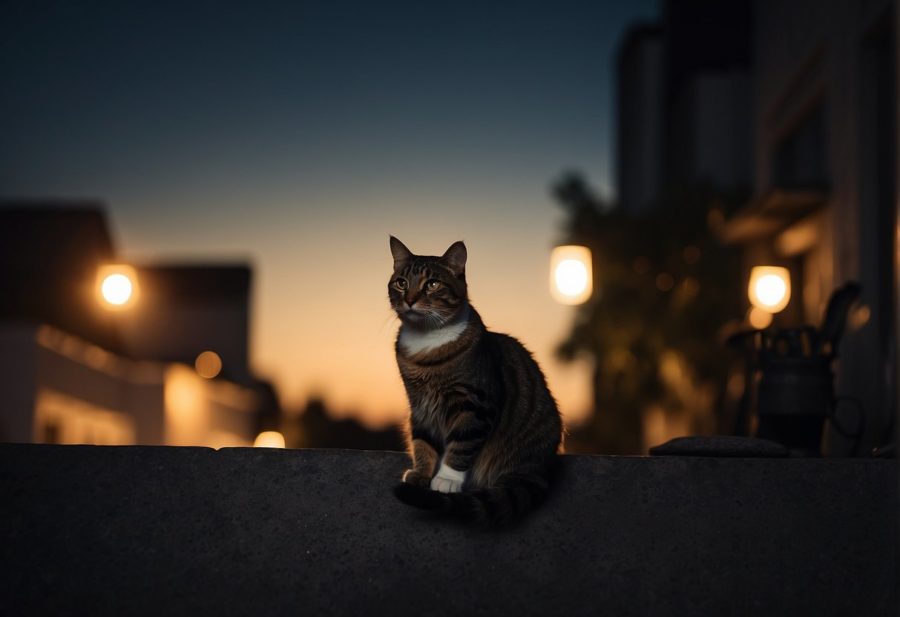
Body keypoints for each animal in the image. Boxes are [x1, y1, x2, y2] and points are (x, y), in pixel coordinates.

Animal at [388, 236, 564, 524]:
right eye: (401, 282)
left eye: (432, 284)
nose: (410, 300)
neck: (426, 344)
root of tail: (537, 467)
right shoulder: (419, 406)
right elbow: (422, 441)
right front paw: (422, 473)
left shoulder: (475, 403)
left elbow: (462, 443)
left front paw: (446, 479)